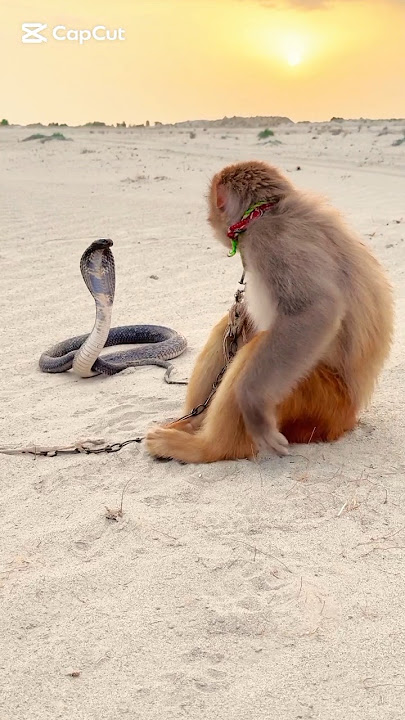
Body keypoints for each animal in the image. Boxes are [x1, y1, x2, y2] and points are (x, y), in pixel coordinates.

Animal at [146, 160, 393, 463]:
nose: (208, 217)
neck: (264, 211)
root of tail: (348, 417)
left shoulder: (270, 239)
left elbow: (315, 312)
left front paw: (252, 404)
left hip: (314, 397)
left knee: (255, 350)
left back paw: (206, 447)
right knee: (232, 329)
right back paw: (192, 423)